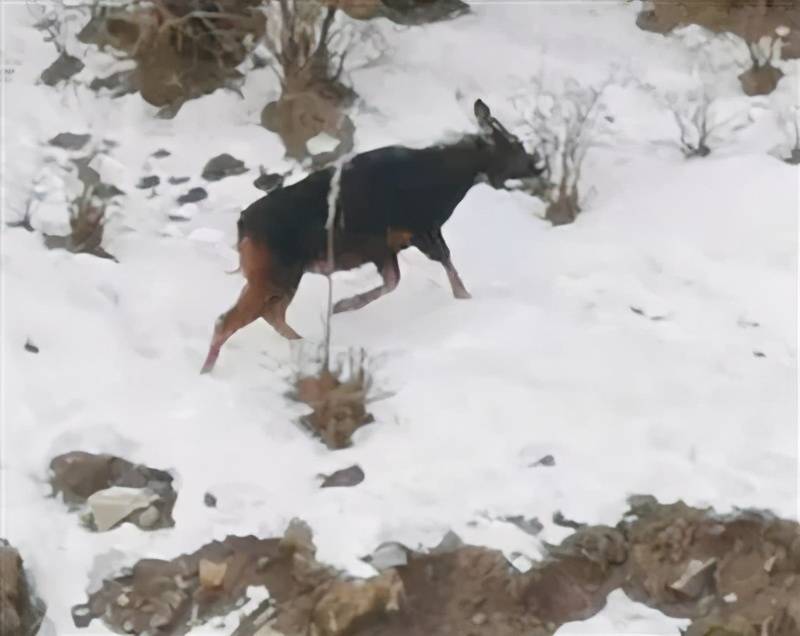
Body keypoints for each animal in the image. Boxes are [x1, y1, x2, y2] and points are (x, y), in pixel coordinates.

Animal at [203, 99, 548, 372]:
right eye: (515, 144)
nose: (538, 166)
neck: (447, 182)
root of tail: (243, 226)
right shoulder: (418, 231)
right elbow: (440, 268)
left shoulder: (392, 247)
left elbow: (399, 279)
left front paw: (342, 305)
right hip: (275, 272)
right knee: (229, 319)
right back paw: (209, 369)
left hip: (280, 275)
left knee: (270, 313)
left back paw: (307, 345)